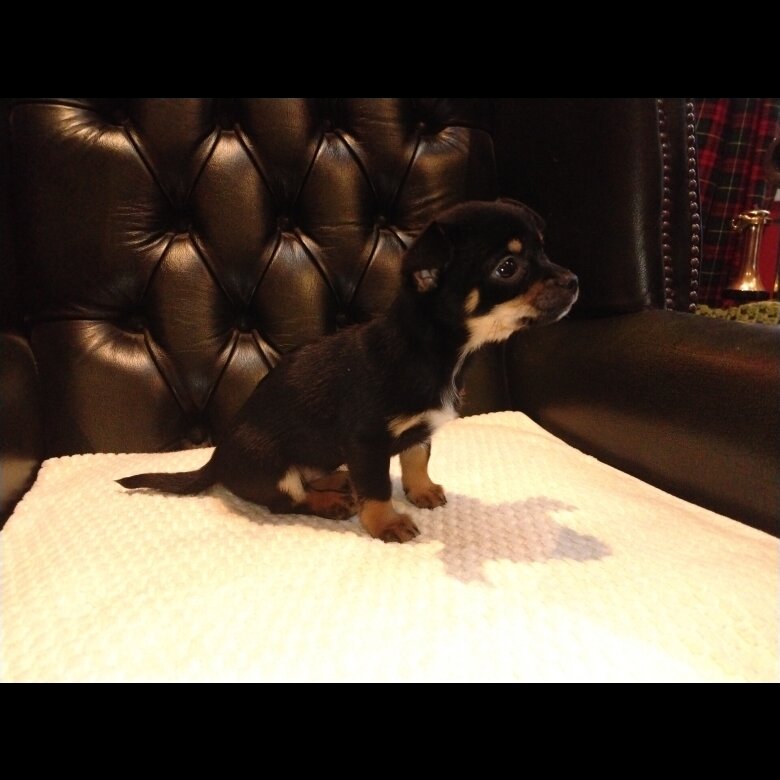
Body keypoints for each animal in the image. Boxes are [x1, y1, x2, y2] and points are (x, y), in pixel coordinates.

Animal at [118, 199, 578, 542]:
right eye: (507, 268)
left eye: (544, 251)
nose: (574, 281)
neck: (434, 351)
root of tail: (216, 461)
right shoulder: (367, 442)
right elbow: (376, 487)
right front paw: (386, 523)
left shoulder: (416, 430)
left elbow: (416, 459)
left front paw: (422, 491)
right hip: (270, 465)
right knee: (286, 499)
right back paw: (331, 501)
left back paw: (337, 481)